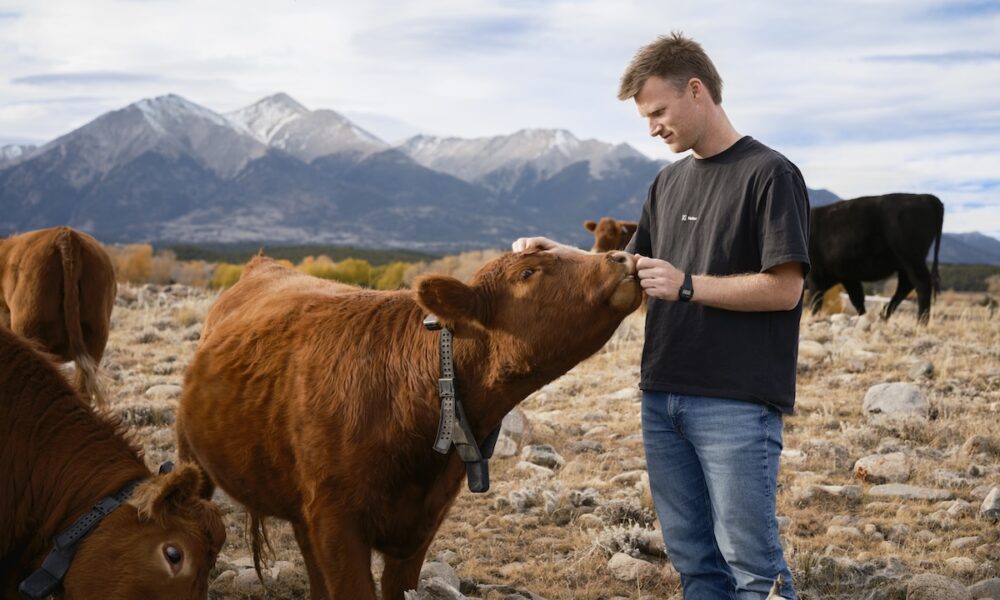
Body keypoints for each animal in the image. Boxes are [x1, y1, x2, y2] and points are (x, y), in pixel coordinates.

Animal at [806, 193, 944, 323]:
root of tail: (926, 197)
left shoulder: (815, 277)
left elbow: (815, 300)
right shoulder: (848, 277)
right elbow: (857, 299)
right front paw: (863, 318)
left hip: (912, 259)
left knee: (922, 284)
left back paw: (921, 322)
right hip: (904, 264)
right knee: (906, 285)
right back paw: (883, 316)